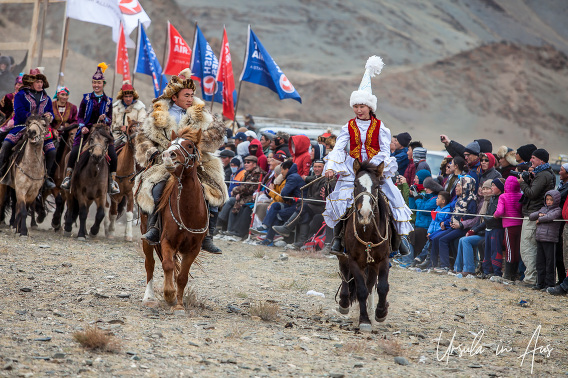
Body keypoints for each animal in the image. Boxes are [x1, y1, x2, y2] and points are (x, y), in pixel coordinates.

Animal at [140, 127, 209, 314]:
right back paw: (149, 298)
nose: (167, 155)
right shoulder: (167, 241)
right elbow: (168, 265)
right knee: (150, 263)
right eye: (171, 144)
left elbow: (182, 276)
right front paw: (169, 295)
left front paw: (179, 304)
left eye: (190, 145)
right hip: (145, 235)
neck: (188, 211)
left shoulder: (193, 249)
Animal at [336, 161, 392, 332]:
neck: (367, 231)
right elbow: (361, 290)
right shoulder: (354, 260)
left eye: (377, 186)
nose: (365, 214)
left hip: (372, 264)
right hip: (344, 256)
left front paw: (381, 313)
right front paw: (364, 320)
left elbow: (382, 287)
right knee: (345, 274)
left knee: (371, 283)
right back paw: (344, 302)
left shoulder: (383, 259)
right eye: (355, 184)